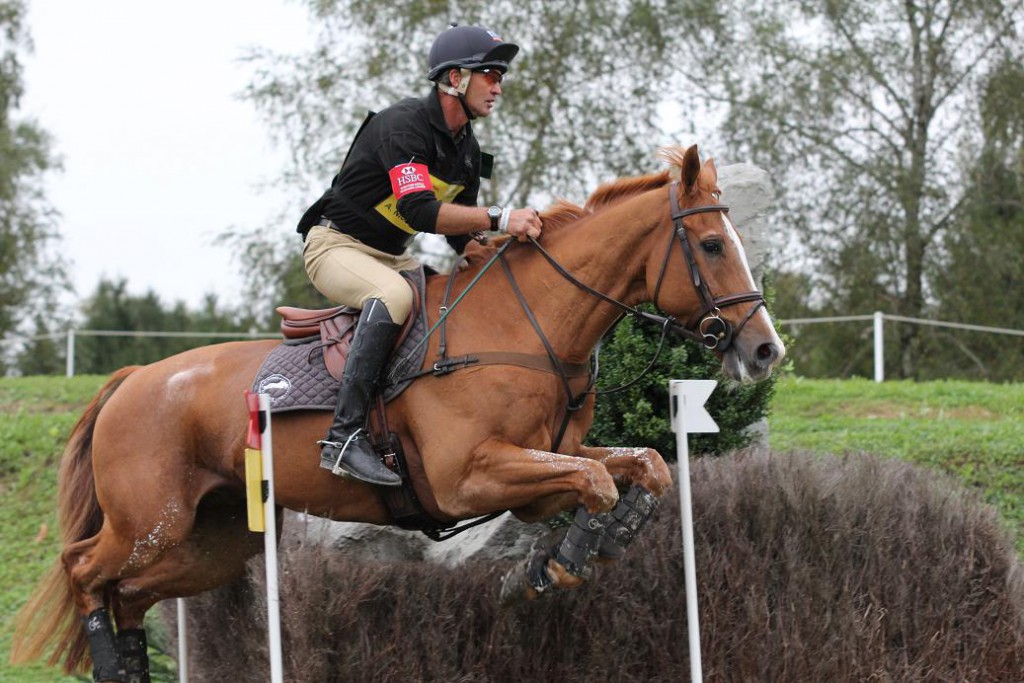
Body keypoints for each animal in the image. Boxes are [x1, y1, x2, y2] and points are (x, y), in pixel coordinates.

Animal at [9, 141, 782, 679]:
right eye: (712, 244)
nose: (765, 349)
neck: (526, 327)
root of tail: (132, 380)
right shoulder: (468, 478)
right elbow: (598, 481)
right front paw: (550, 567)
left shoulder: (542, 464)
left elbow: (641, 467)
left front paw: (571, 556)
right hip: (153, 522)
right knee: (85, 570)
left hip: (214, 543)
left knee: (130, 595)